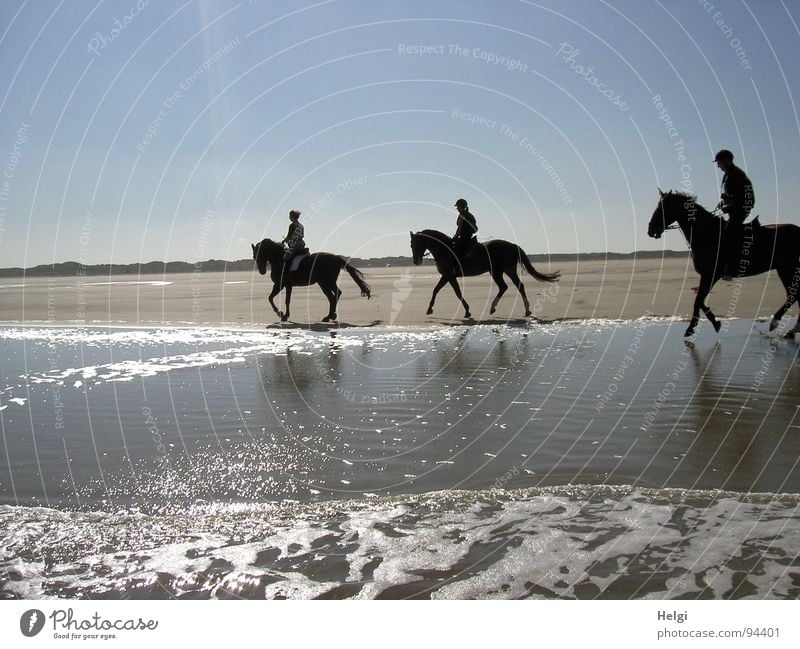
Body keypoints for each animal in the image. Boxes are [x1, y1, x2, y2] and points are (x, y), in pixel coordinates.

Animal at [410, 229, 560, 318]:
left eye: (415, 244)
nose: (416, 261)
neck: (444, 249)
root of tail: (512, 245)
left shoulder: (449, 275)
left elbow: (455, 292)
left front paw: (467, 311)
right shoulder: (446, 276)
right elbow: (437, 290)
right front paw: (430, 308)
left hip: (499, 271)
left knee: (505, 286)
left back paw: (496, 308)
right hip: (506, 270)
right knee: (516, 286)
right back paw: (525, 310)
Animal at [648, 189, 800, 336]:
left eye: (662, 208)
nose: (650, 229)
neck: (707, 233)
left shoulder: (711, 275)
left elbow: (698, 300)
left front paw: (694, 328)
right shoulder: (708, 276)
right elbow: (700, 300)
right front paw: (713, 322)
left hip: (789, 269)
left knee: (793, 295)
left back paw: (777, 323)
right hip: (785, 269)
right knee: (794, 295)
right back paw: (791, 329)